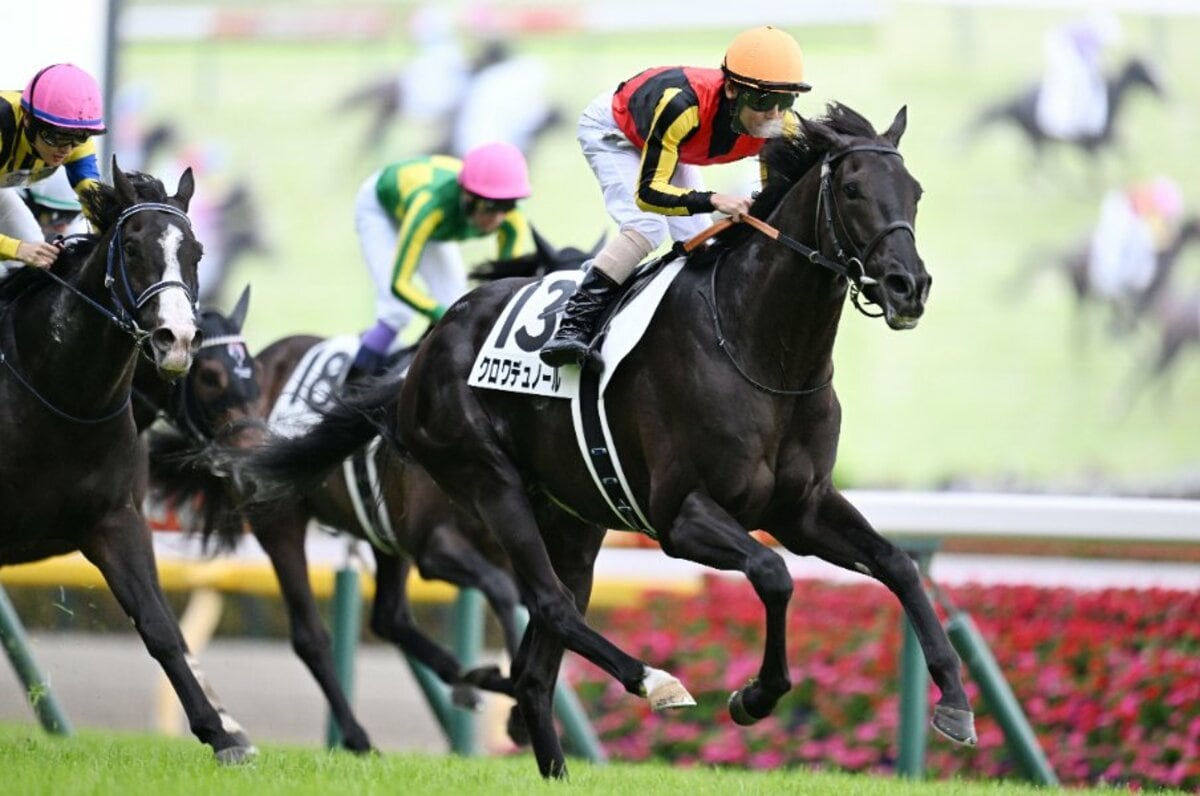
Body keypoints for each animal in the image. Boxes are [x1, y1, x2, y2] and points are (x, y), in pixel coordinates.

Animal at [0, 163, 255, 763]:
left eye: (197, 251)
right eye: (133, 248)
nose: (176, 339)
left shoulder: (115, 518)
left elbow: (160, 626)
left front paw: (222, 732)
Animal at [147, 231, 596, 752]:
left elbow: (539, 600)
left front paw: (516, 702)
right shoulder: (435, 546)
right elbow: (506, 594)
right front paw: (518, 709)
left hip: (383, 536)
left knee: (389, 617)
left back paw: (467, 681)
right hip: (279, 521)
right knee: (312, 636)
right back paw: (360, 735)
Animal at [242, 103, 978, 778]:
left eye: (915, 191)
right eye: (851, 189)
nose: (908, 286)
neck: (762, 350)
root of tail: (426, 352)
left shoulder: (802, 508)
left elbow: (898, 565)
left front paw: (955, 704)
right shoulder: (681, 516)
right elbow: (773, 575)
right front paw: (753, 696)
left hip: (571, 520)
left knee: (537, 662)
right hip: (482, 482)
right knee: (546, 605)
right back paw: (652, 680)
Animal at [967, 56, 1163, 159]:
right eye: (1145, 71)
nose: (1164, 91)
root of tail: (1014, 101)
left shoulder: (1102, 142)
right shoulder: (1089, 145)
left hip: (1042, 140)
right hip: (1038, 139)